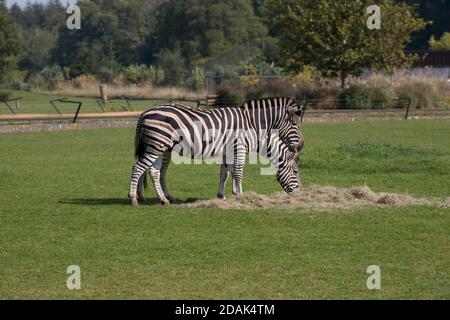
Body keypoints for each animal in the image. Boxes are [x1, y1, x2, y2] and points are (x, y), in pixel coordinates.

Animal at [130, 97, 306, 206]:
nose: (300, 194)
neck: (252, 124)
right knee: (138, 168)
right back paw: (133, 199)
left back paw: (164, 200)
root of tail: (145, 111)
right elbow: (238, 173)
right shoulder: (239, 148)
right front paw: (241, 196)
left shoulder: (228, 151)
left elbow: (225, 173)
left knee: (154, 171)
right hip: (157, 145)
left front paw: (222, 196)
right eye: (296, 172)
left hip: (159, 146)